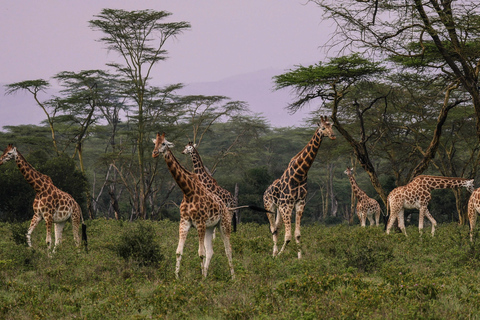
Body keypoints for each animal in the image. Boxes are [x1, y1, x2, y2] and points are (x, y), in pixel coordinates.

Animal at [152, 132, 234, 278]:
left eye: (164, 143)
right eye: (154, 143)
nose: (154, 153)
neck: (188, 192)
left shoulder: (199, 223)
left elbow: (200, 253)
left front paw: (200, 279)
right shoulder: (184, 221)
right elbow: (179, 251)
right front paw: (177, 277)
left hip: (224, 223)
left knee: (228, 249)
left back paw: (233, 277)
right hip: (210, 227)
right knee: (211, 251)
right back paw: (206, 275)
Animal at [260, 116, 336, 258]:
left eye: (332, 126)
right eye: (323, 127)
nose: (333, 135)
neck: (300, 174)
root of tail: (265, 191)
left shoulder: (300, 202)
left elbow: (297, 234)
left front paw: (300, 258)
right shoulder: (287, 204)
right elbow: (288, 236)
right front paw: (279, 256)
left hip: (279, 208)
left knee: (277, 228)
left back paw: (275, 252)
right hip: (270, 206)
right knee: (273, 229)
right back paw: (274, 254)